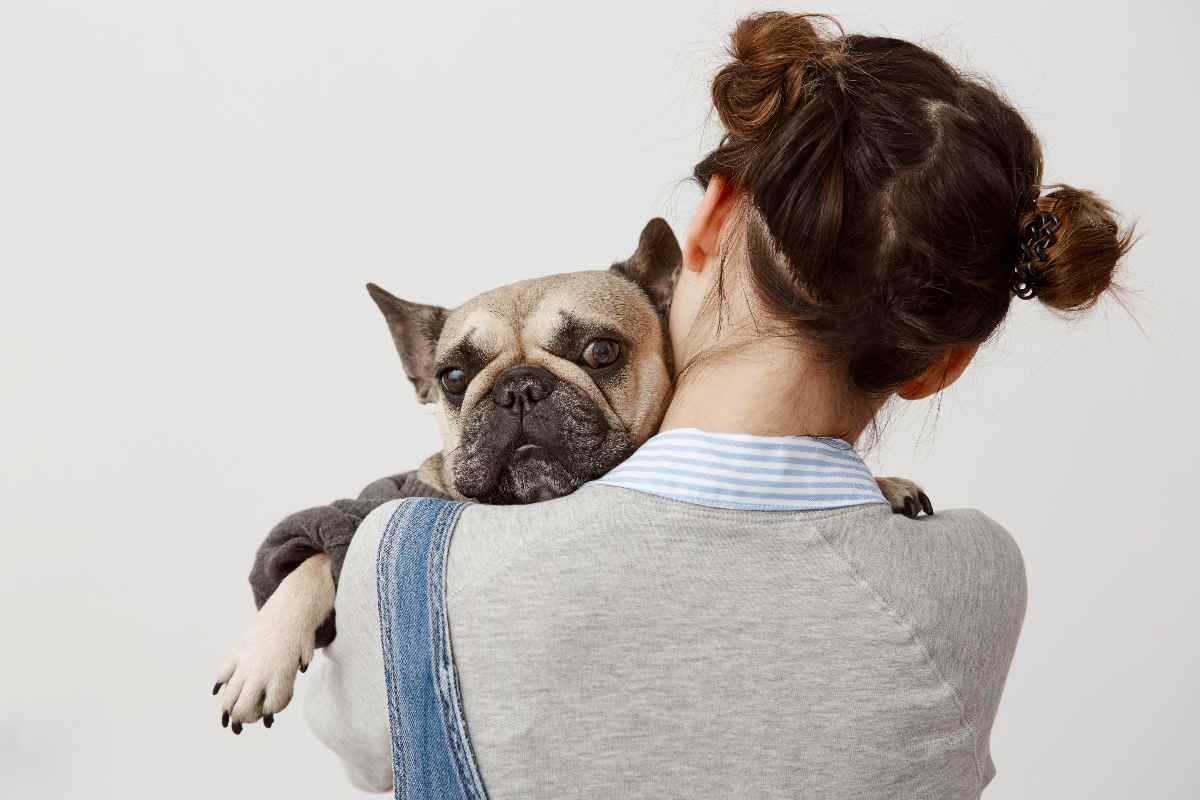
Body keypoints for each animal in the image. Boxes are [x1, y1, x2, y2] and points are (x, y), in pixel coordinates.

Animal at [213, 217, 926, 734]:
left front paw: (885, 485)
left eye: (600, 350)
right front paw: (261, 655)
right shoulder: (377, 503)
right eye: (453, 376)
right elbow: (312, 558)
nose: (519, 387)